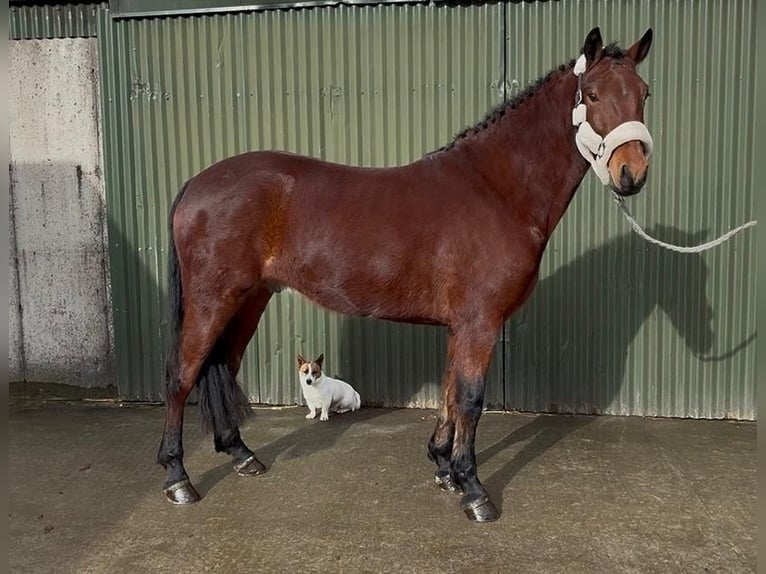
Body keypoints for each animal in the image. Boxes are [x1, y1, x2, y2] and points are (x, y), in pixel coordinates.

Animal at [157, 26, 654, 522]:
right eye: (592, 94)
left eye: (644, 93)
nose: (631, 173)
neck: (497, 190)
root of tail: (196, 184)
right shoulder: (481, 323)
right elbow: (471, 399)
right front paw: (474, 490)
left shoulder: (462, 326)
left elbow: (451, 391)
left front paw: (445, 467)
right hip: (213, 300)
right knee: (181, 376)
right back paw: (178, 478)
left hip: (250, 299)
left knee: (222, 365)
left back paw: (241, 454)